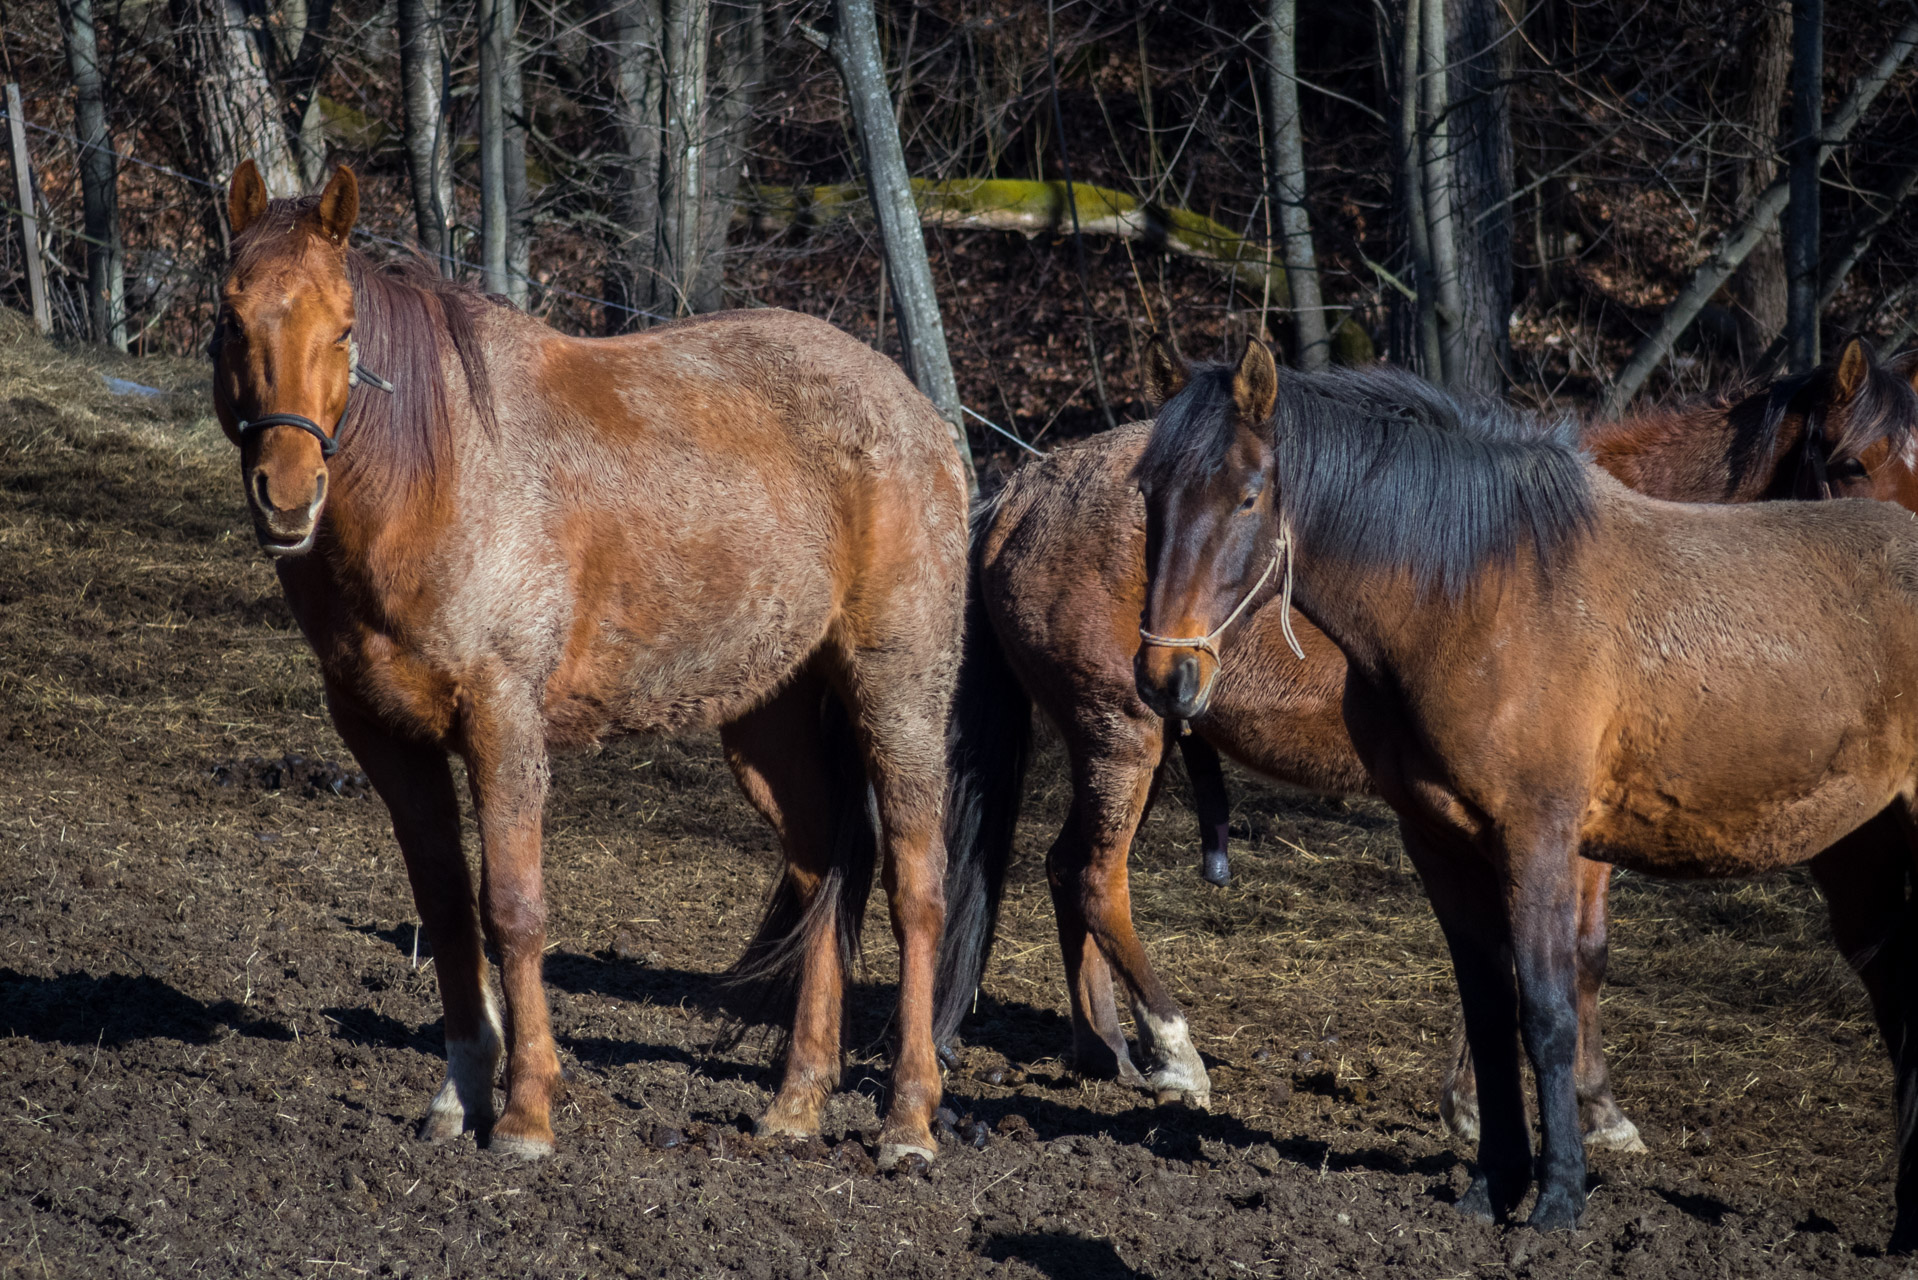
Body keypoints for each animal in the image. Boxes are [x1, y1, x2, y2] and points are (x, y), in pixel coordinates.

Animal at [210, 163, 966, 1174]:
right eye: (231, 317)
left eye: (343, 326)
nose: (288, 496)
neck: (438, 475)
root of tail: (915, 412)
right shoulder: (383, 736)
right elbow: (445, 906)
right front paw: (459, 1091)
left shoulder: (501, 721)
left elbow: (513, 909)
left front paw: (527, 1112)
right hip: (768, 716)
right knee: (820, 873)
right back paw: (796, 1102)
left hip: (898, 692)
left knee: (917, 891)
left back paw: (909, 1121)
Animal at [932, 339, 1918, 1151]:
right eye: (1850, 462)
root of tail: (1022, 492)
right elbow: (1567, 953)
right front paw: (1561, 1107)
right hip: (1123, 735)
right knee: (1095, 877)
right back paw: (1173, 1053)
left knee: (1068, 871)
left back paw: (1102, 1047)